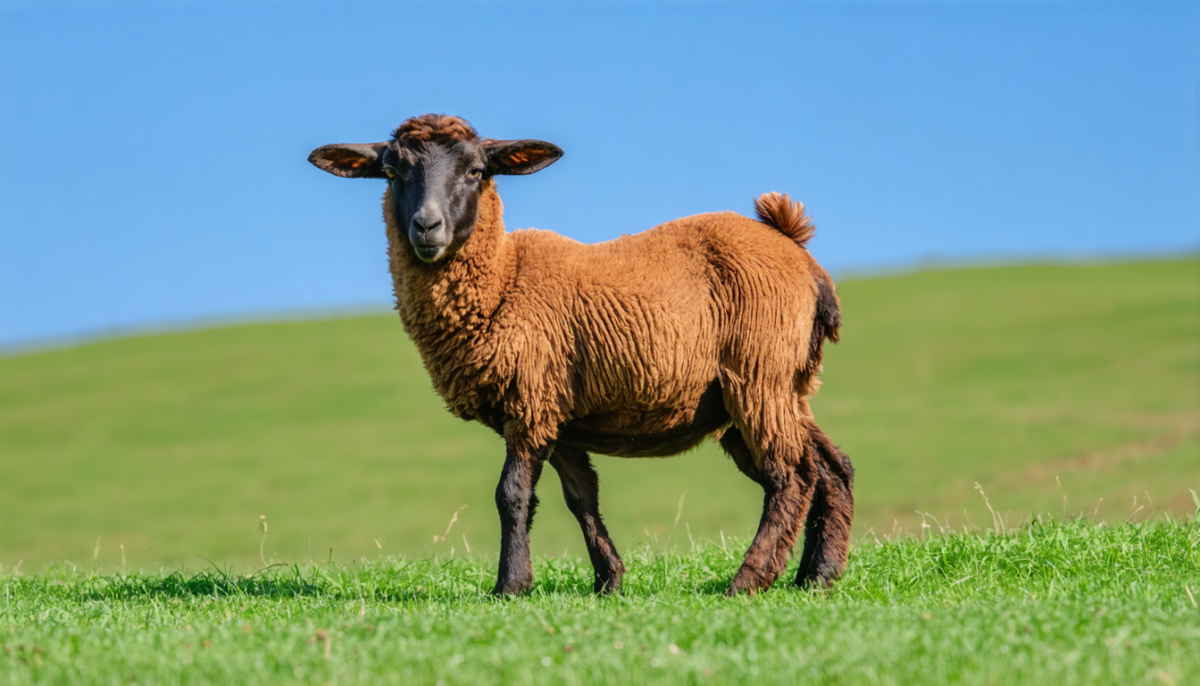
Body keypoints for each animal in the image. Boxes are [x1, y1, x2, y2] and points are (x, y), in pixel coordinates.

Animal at [308, 114, 853, 596]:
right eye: (392, 172)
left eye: (476, 170)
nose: (427, 226)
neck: (504, 282)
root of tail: (799, 253)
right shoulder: (559, 416)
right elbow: (581, 499)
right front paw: (608, 581)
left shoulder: (531, 404)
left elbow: (511, 495)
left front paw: (510, 586)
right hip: (776, 388)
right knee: (831, 467)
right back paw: (816, 576)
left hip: (759, 375)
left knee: (790, 475)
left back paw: (749, 581)